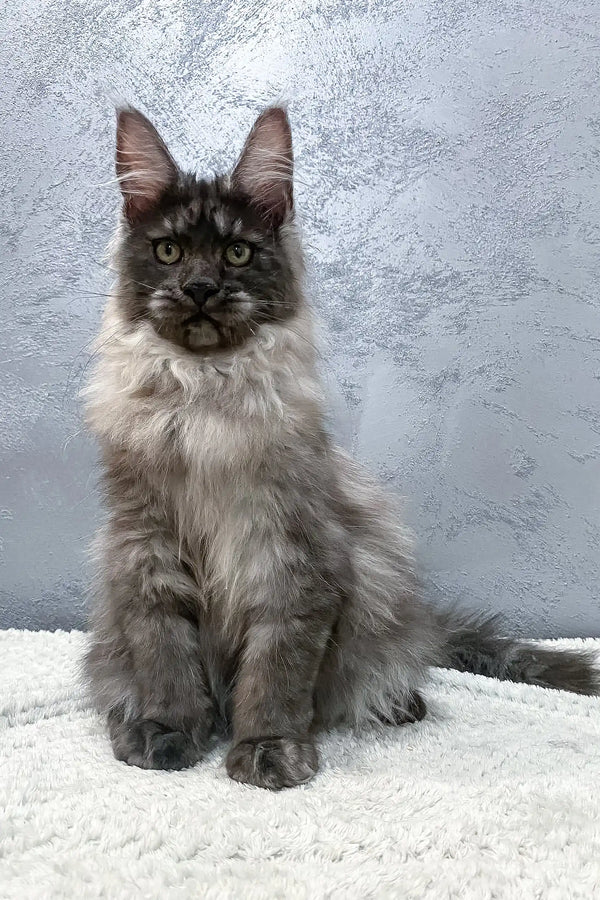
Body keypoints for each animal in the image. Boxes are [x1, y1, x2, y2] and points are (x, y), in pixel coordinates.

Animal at [83, 109, 596, 792]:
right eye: (168, 251)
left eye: (237, 252)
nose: (199, 288)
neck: (203, 399)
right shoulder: (147, 550)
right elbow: (165, 657)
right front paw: (167, 731)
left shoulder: (294, 556)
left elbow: (276, 671)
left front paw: (268, 749)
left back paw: (402, 705)